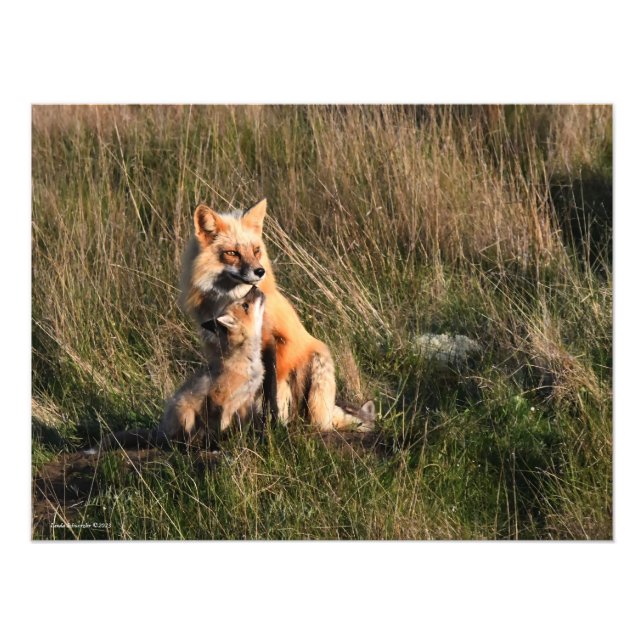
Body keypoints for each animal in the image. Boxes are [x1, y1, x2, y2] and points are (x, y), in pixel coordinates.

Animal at [180, 198, 376, 432]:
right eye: (232, 253)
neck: (227, 300)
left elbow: (270, 393)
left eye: (256, 250)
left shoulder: (270, 340)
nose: (260, 271)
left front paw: (272, 428)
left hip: (318, 365)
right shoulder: (215, 346)